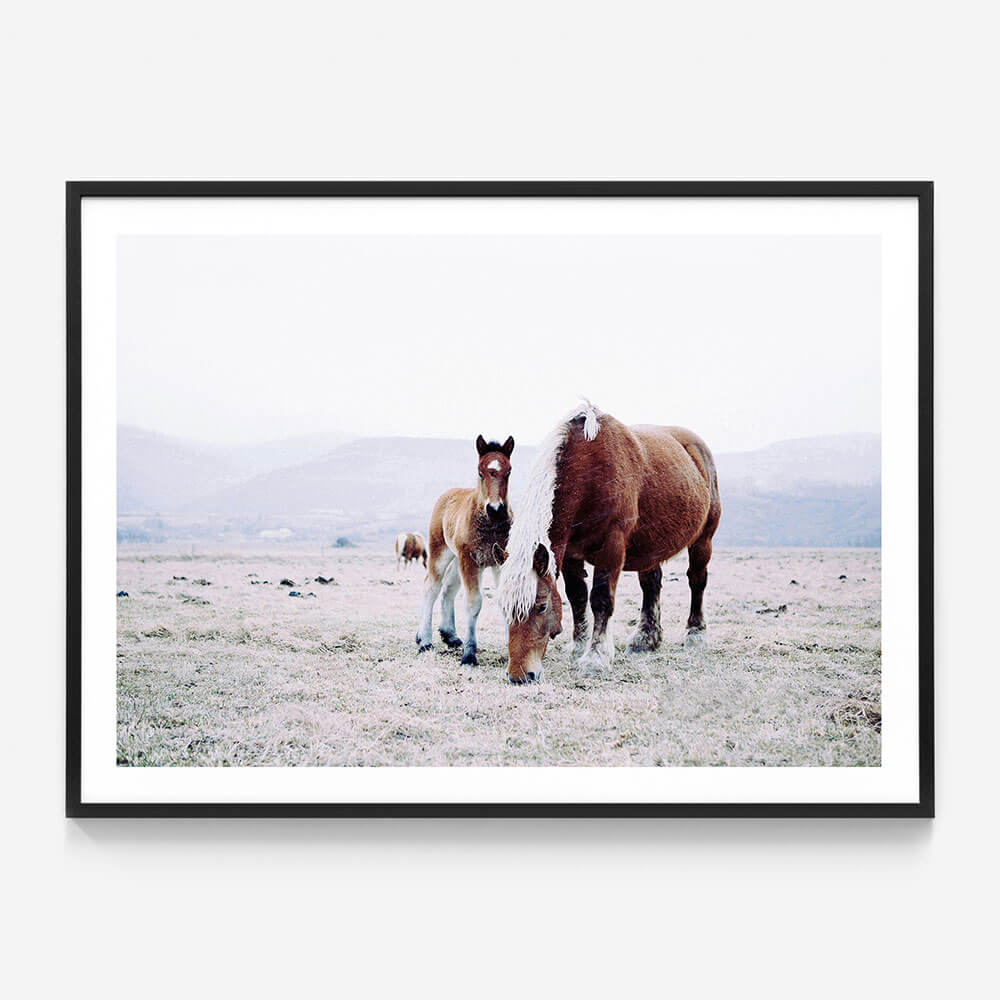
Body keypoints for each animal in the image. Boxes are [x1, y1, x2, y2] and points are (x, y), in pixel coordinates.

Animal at [416, 434, 515, 665]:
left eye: (508, 472)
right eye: (480, 472)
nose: (495, 510)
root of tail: (449, 493)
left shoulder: (500, 560)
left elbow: (506, 600)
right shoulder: (471, 560)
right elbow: (473, 603)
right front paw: (469, 655)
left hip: (457, 558)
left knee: (448, 589)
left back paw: (449, 635)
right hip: (441, 551)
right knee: (431, 587)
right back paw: (424, 640)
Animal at [499, 403, 721, 684]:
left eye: (541, 607)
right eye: (504, 609)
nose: (519, 675)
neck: (588, 470)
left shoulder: (611, 547)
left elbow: (601, 599)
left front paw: (596, 658)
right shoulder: (571, 554)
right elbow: (577, 597)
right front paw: (579, 647)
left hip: (703, 540)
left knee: (696, 580)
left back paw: (696, 634)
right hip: (650, 546)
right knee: (651, 585)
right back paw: (645, 639)